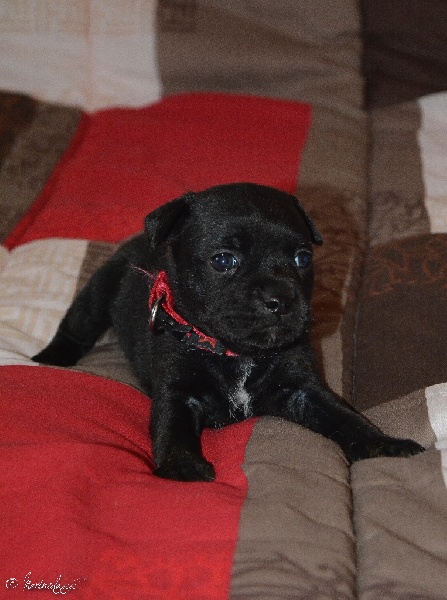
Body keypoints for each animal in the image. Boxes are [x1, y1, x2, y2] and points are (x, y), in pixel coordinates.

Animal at [33, 183, 424, 481]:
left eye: (302, 258)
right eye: (223, 261)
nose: (281, 298)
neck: (237, 353)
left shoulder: (302, 388)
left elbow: (345, 416)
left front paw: (383, 444)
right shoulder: (177, 390)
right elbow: (172, 427)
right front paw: (183, 467)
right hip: (99, 290)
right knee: (76, 326)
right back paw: (49, 359)